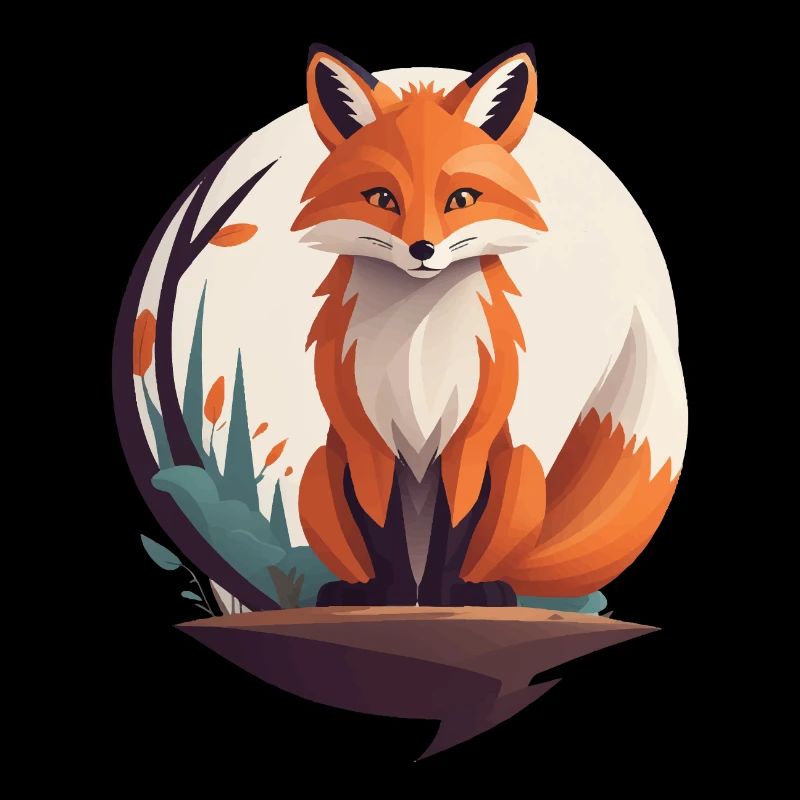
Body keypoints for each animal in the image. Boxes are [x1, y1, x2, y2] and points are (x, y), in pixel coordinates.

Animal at [291, 43, 687, 606]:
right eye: (382, 199)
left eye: (461, 200)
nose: (422, 249)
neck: (417, 340)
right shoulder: (366, 439)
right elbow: (382, 530)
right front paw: (391, 598)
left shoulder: (470, 436)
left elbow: (455, 529)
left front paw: (443, 597)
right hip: (316, 472)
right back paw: (358, 590)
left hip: (519, 467)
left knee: (494, 561)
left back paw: (485, 589)